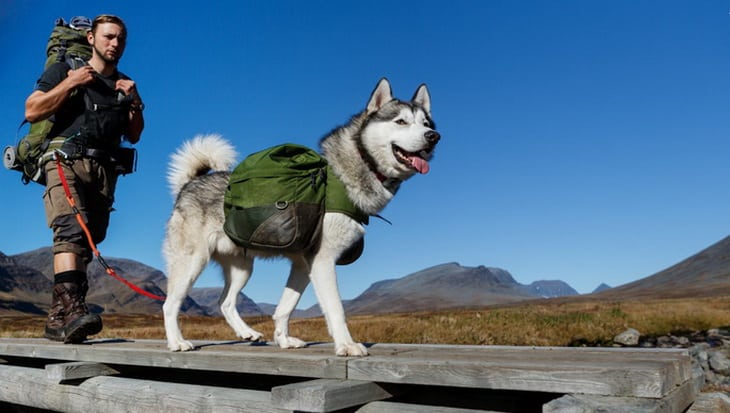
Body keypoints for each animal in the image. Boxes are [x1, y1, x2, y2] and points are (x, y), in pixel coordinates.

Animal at [161, 78, 438, 354]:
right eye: (400, 121)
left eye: (425, 123)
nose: (434, 137)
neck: (355, 166)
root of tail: (190, 184)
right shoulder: (323, 260)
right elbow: (336, 309)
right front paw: (346, 345)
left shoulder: (304, 264)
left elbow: (285, 307)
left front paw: (283, 339)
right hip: (192, 262)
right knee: (170, 304)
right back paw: (177, 342)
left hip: (242, 268)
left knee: (225, 302)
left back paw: (247, 332)